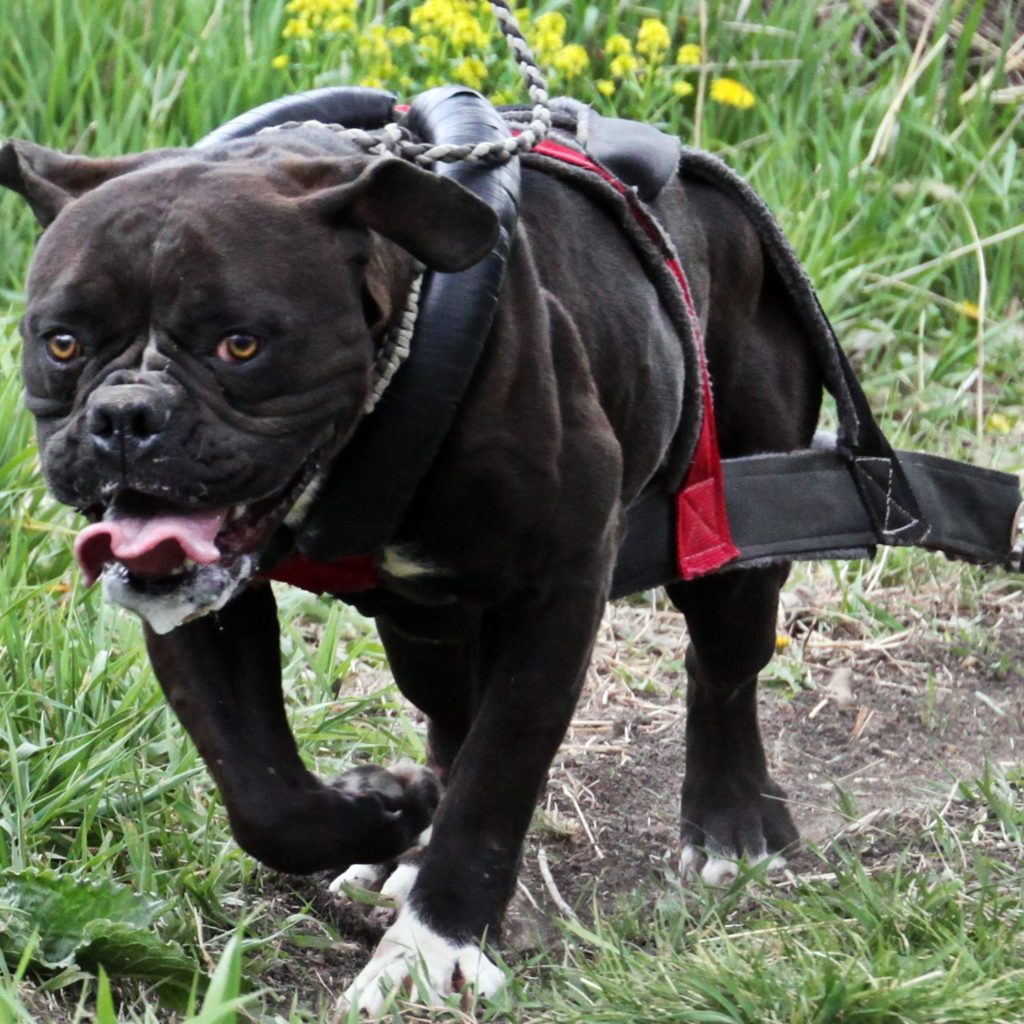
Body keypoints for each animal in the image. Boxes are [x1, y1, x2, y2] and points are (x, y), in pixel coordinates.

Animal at [0, 110, 819, 1007]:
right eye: (63, 344)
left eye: (241, 345)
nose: (126, 414)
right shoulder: (202, 615)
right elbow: (262, 792)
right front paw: (385, 807)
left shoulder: (559, 593)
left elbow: (496, 779)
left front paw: (435, 945)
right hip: (425, 631)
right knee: (450, 717)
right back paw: (410, 839)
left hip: (731, 532)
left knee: (721, 670)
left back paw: (733, 824)